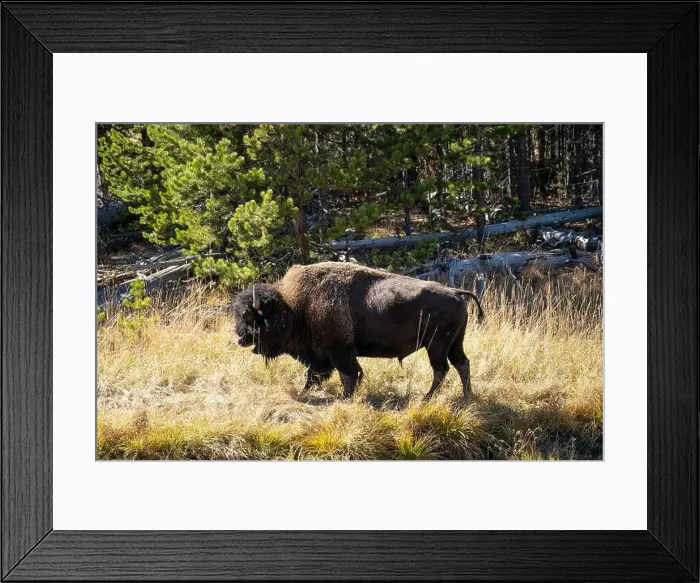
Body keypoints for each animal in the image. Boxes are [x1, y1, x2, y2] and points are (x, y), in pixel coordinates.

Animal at [232, 262, 483, 400]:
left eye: (251, 316)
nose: (240, 338)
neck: (294, 305)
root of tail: (456, 292)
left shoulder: (339, 352)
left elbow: (350, 375)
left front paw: (345, 398)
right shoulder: (323, 355)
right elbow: (315, 375)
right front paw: (308, 391)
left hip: (436, 346)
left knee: (442, 369)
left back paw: (427, 398)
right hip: (454, 343)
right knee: (462, 363)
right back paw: (466, 397)